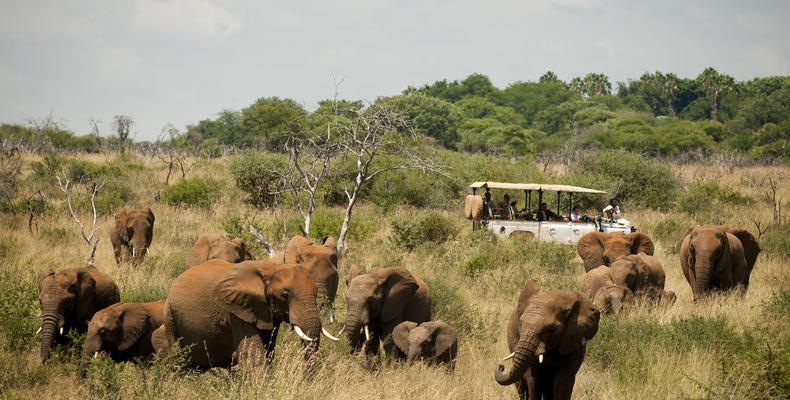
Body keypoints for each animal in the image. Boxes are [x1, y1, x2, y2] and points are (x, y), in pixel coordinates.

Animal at [162, 260, 338, 368]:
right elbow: (253, 356)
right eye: (284, 295)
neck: (270, 268)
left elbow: (268, 352)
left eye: (316, 292)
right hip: (170, 316)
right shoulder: (237, 310)